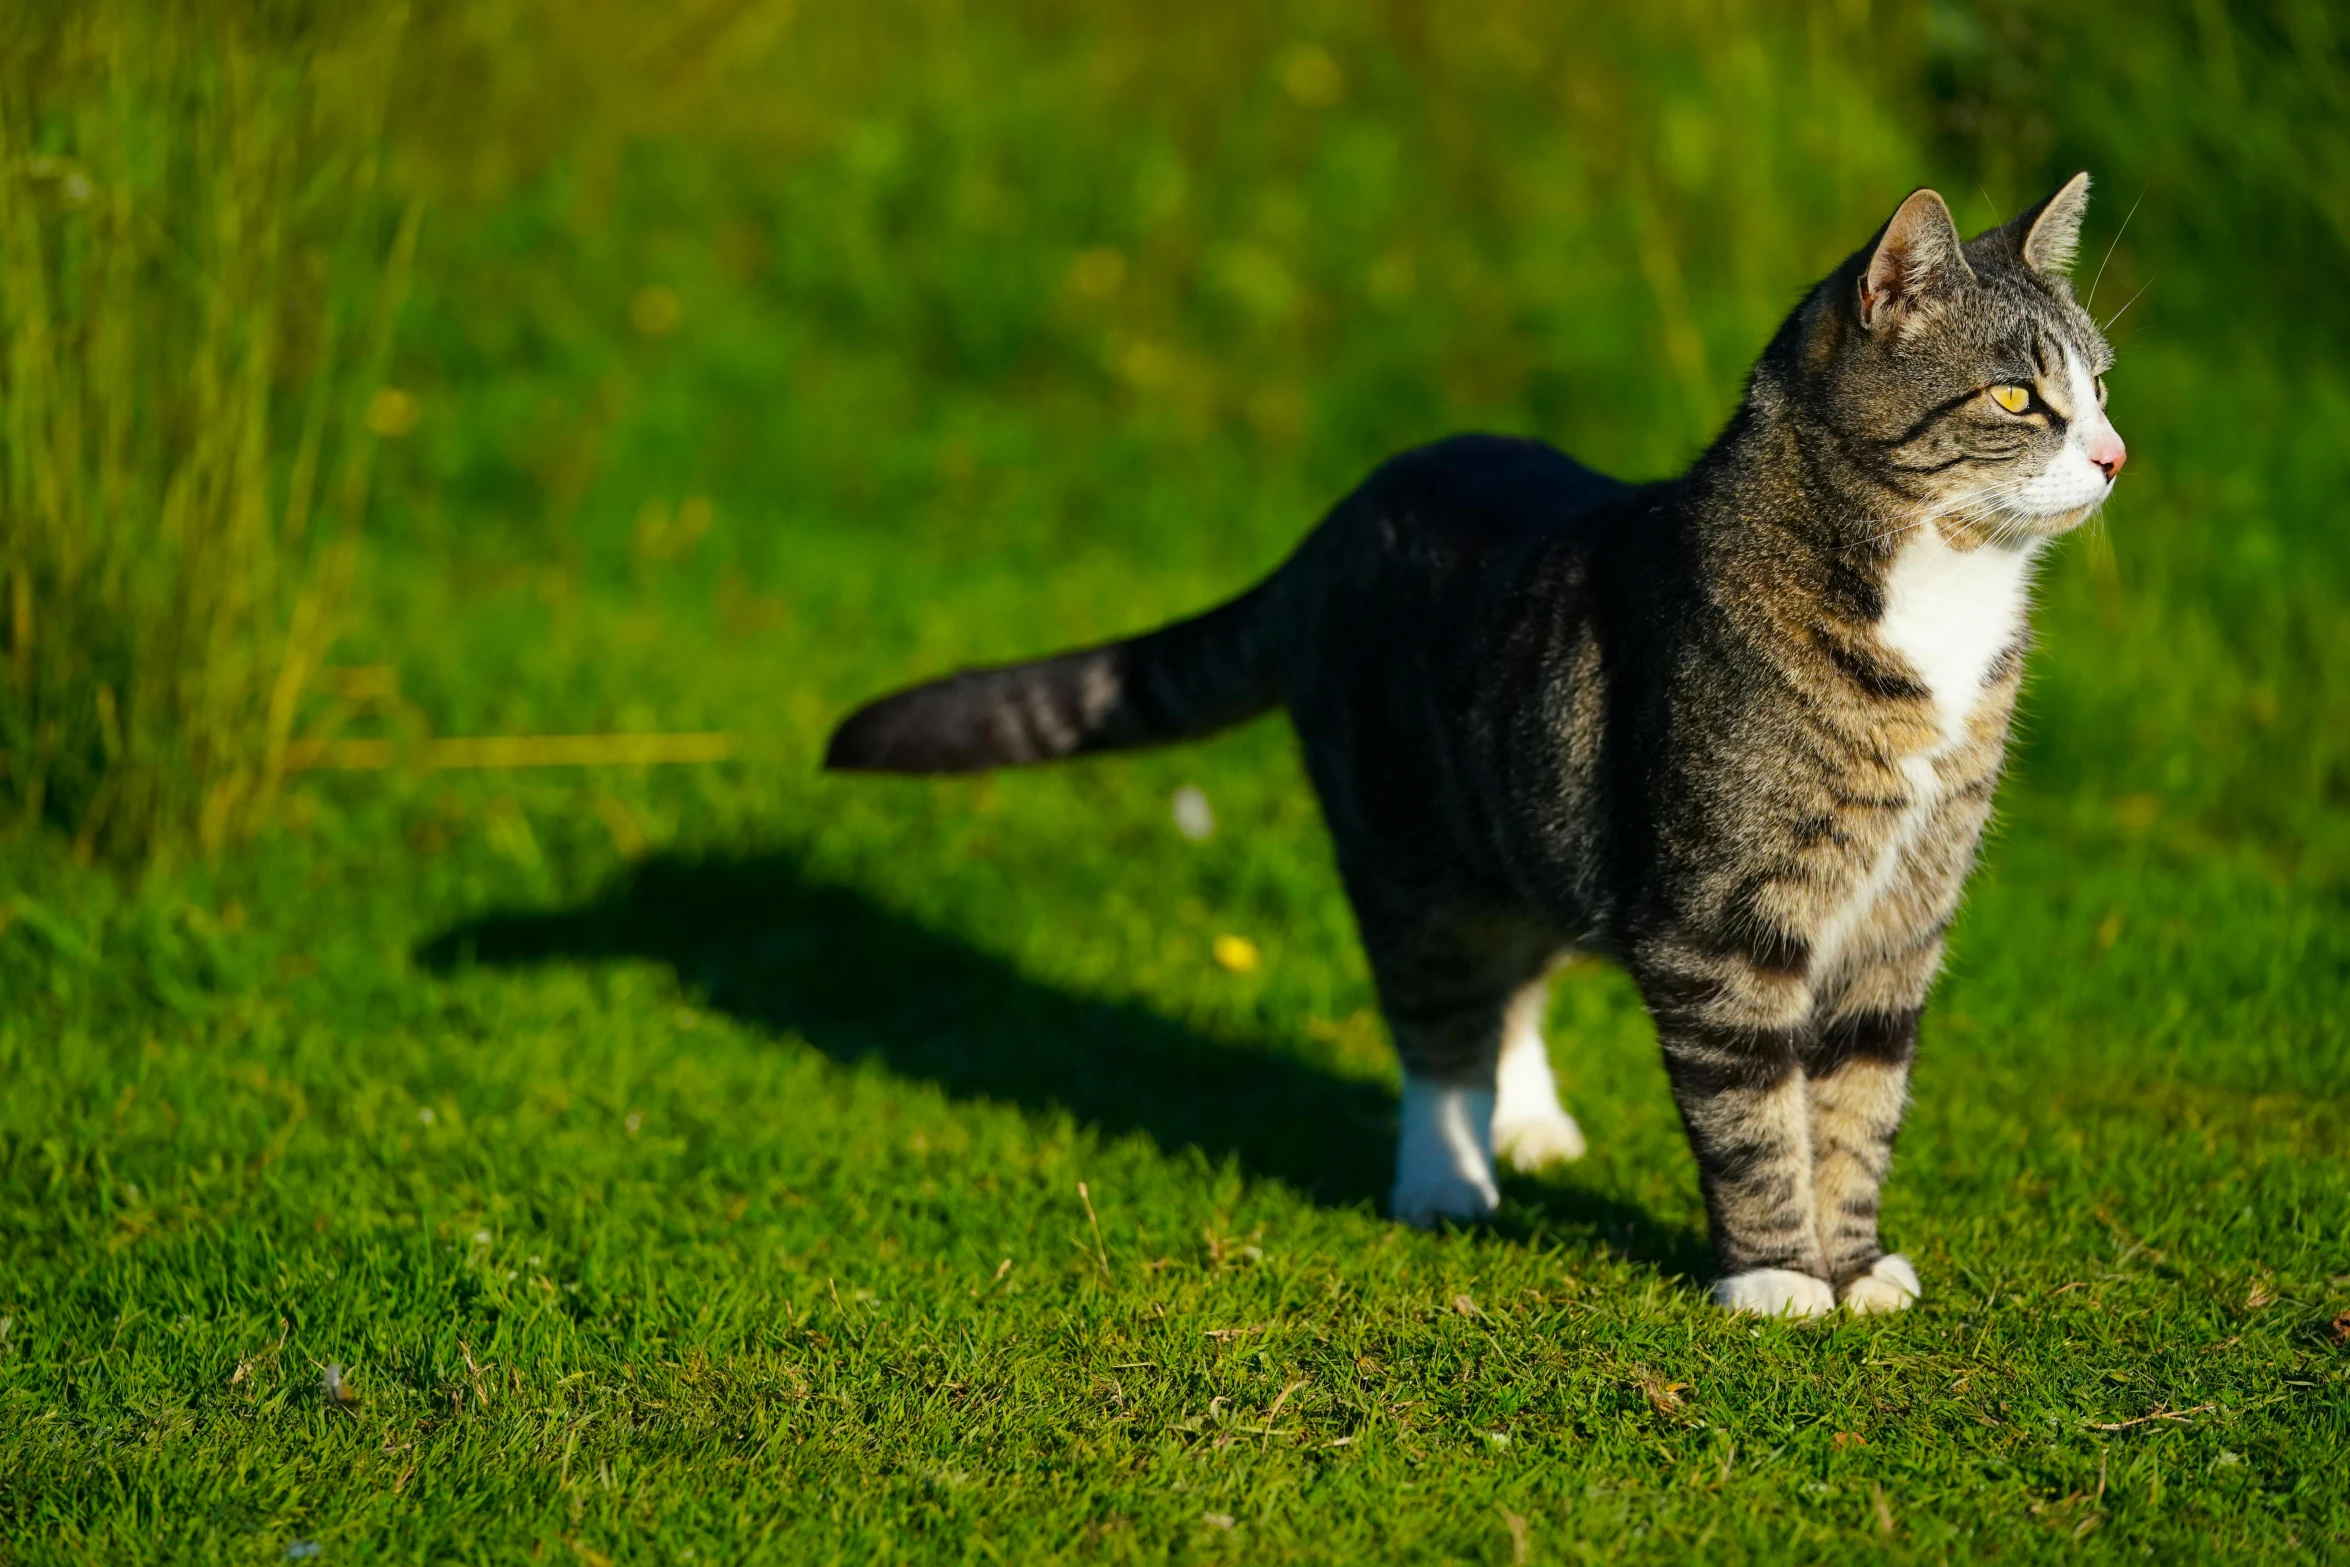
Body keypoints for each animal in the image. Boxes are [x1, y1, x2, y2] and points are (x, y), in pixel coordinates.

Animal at [827, 177, 2133, 1315]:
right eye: (2017, 399)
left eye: (2102, 386)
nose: (2115, 456)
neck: (1937, 606)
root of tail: (1340, 515)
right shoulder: (1712, 918)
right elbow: (1755, 1114)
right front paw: (1774, 1275)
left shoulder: (1900, 918)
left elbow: (1860, 1104)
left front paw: (1854, 1265)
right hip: (1405, 845)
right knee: (1437, 1014)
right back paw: (1446, 1172)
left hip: (1525, 811)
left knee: (1515, 975)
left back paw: (1526, 1118)